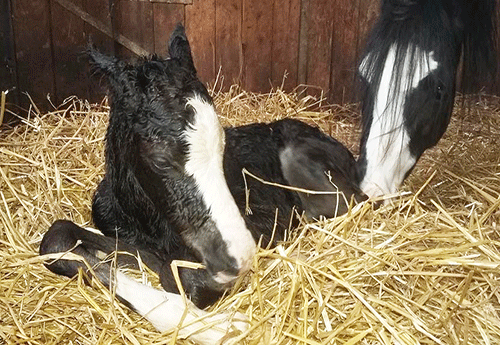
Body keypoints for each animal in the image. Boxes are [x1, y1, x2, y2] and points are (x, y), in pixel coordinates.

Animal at [39, 24, 364, 344]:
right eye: (160, 160)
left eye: (223, 145)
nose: (238, 257)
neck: (147, 223)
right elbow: (59, 237)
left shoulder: (260, 225)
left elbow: (182, 280)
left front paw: (222, 327)